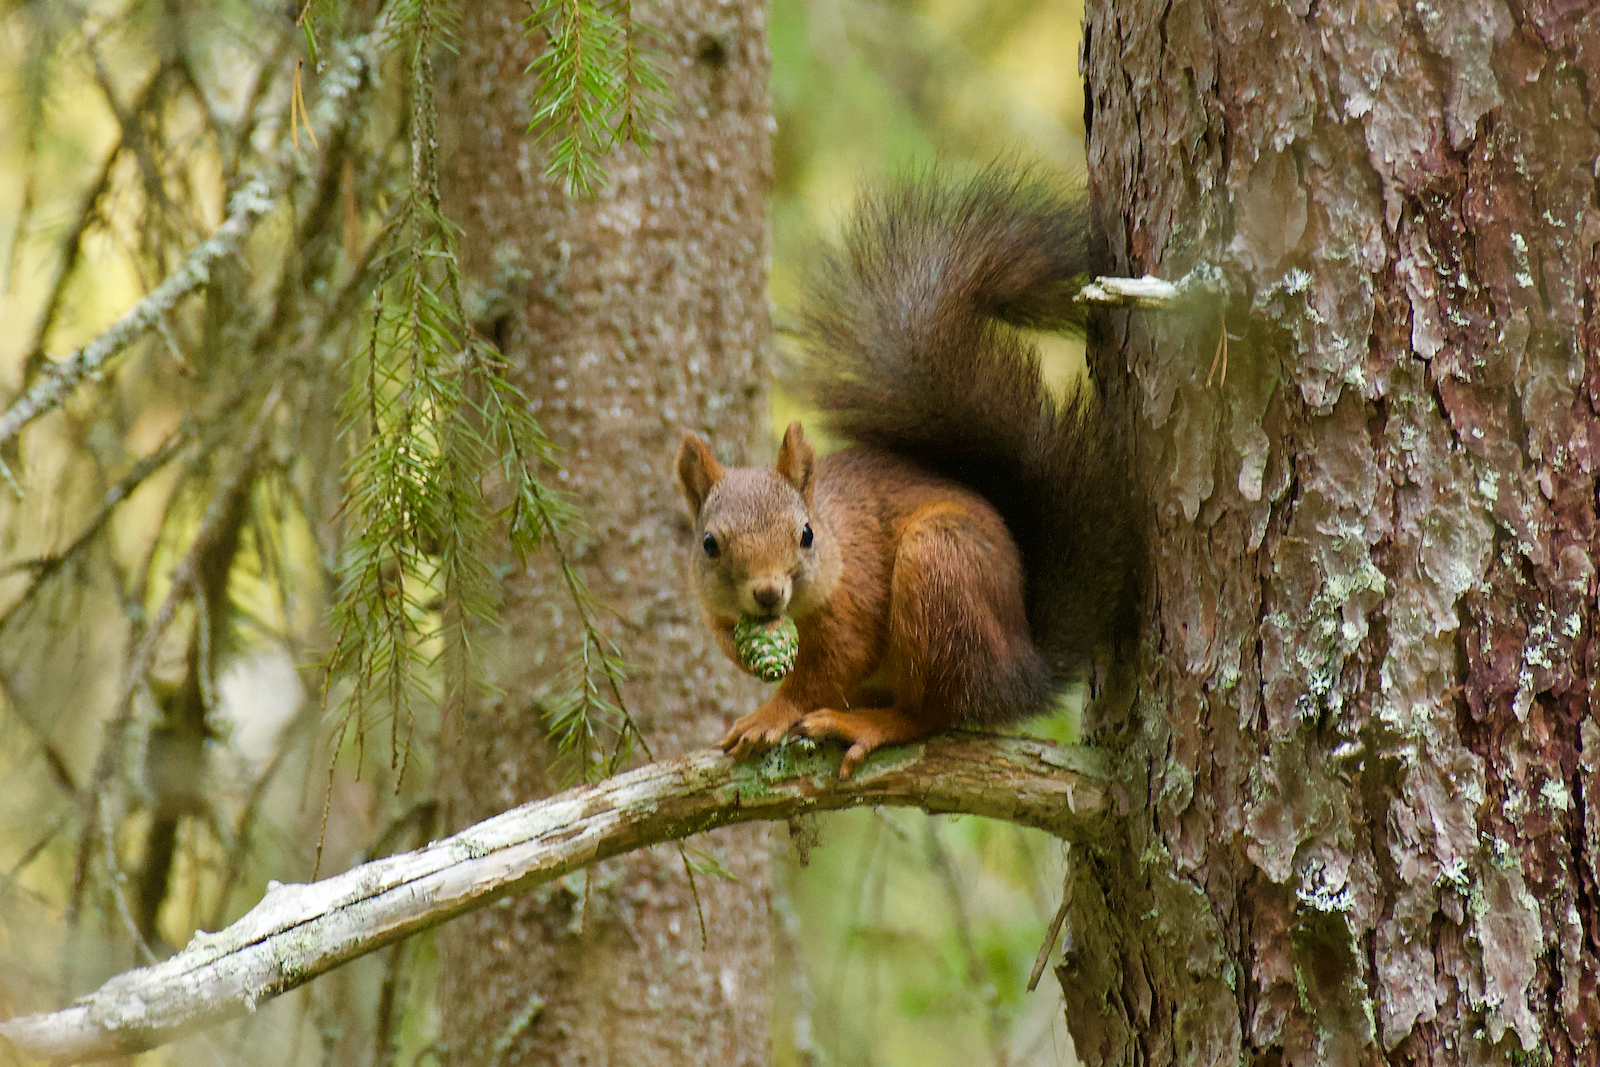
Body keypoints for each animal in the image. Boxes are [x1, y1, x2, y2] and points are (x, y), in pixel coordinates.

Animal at [675, 171, 1139, 780]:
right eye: (709, 544)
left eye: (806, 535)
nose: (769, 594)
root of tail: (1020, 667)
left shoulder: (856, 601)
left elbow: (829, 667)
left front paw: (769, 715)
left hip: (940, 571)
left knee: (931, 712)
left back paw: (869, 725)